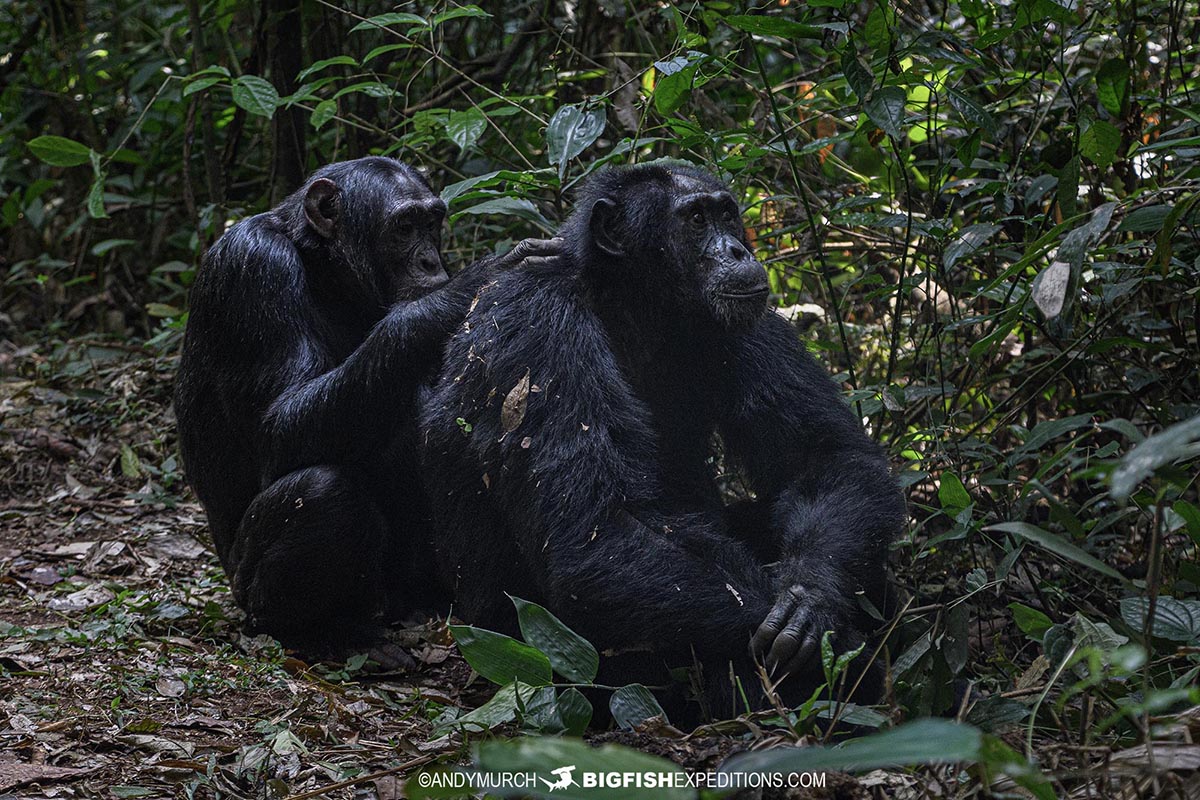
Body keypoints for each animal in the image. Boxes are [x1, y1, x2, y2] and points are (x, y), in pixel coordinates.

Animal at [175, 155, 559, 662]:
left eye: (431, 223)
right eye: (403, 227)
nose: (430, 261)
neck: (323, 268)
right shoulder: (253, 268)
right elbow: (277, 426)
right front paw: (468, 285)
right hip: (247, 589)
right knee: (324, 492)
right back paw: (323, 634)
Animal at [420, 164, 902, 719]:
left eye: (726, 214)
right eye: (694, 220)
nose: (738, 250)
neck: (631, 305)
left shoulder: (748, 322)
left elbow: (824, 458)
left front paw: (810, 596)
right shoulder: (538, 327)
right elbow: (600, 530)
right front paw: (841, 651)